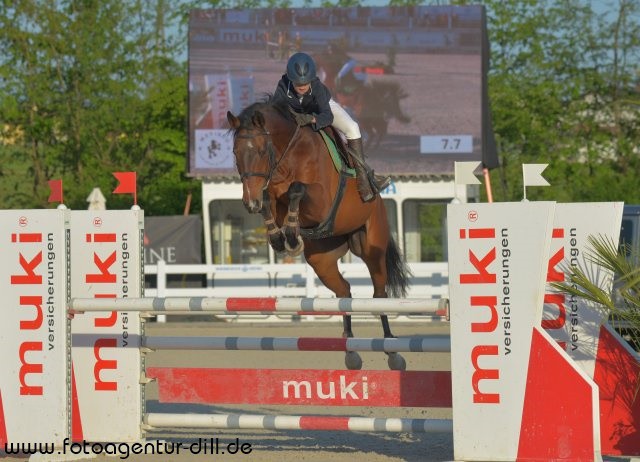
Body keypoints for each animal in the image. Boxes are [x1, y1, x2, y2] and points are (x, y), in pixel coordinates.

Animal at [228, 95, 412, 370]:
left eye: (260, 150)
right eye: (235, 152)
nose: (249, 203)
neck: (288, 155)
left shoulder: (321, 201)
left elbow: (296, 188)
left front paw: (291, 236)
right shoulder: (272, 195)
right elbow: (270, 197)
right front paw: (279, 236)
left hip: (372, 249)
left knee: (379, 294)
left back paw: (392, 350)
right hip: (321, 259)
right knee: (344, 292)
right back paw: (350, 351)